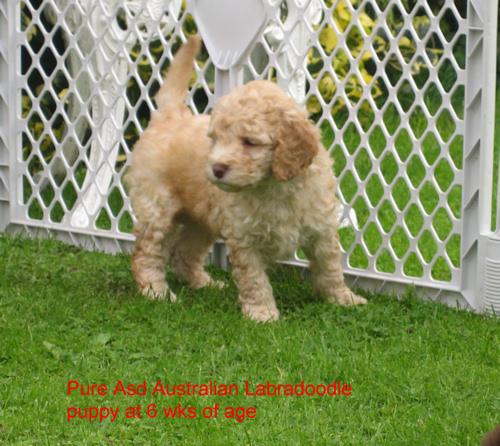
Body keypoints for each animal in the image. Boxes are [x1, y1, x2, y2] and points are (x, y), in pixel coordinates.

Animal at [125, 34, 368, 320]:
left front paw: (343, 299)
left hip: (202, 218)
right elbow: (253, 278)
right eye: (215, 140)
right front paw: (262, 313)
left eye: (250, 142)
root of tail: (168, 117)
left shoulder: (321, 228)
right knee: (146, 253)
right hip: (157, 209)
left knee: (183, 251)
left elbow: (330, 267)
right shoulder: (244, 237)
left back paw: (204, 283)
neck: (274, 185)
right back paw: (157, 292)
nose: (217, 169)